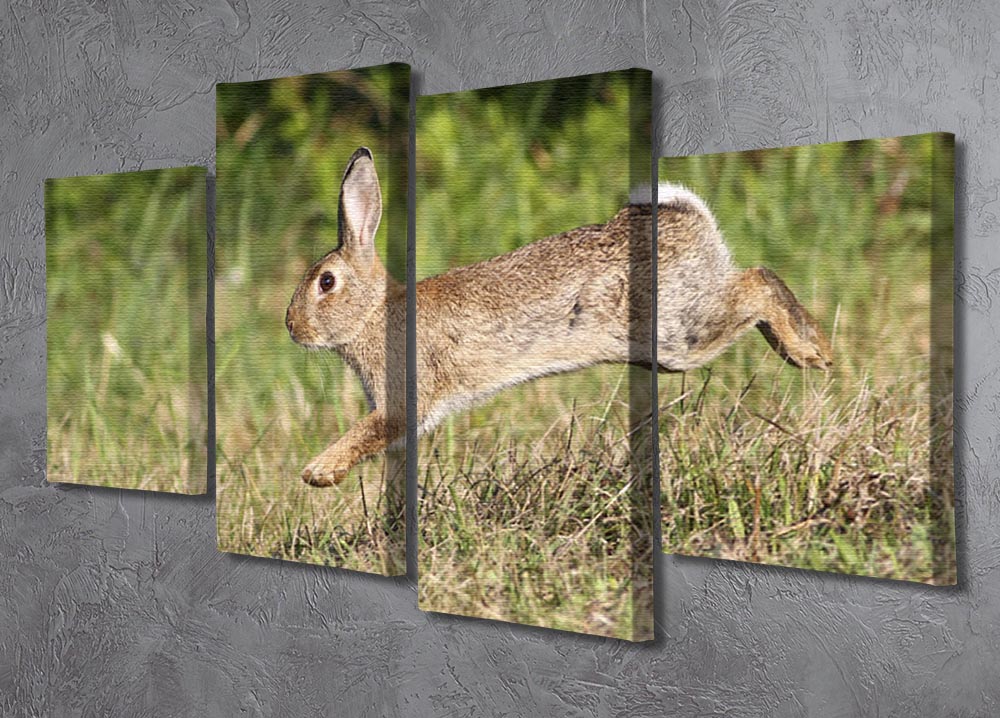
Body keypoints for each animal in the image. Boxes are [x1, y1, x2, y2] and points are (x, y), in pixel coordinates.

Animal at [285, 147, 833, 487]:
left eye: (326, 283)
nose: (291, 328)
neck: (373, 314)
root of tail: (689, 218)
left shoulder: (405, 398)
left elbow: (371, 430)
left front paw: (318, 472)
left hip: (678, 330)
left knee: (758, 282)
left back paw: (811, 352)